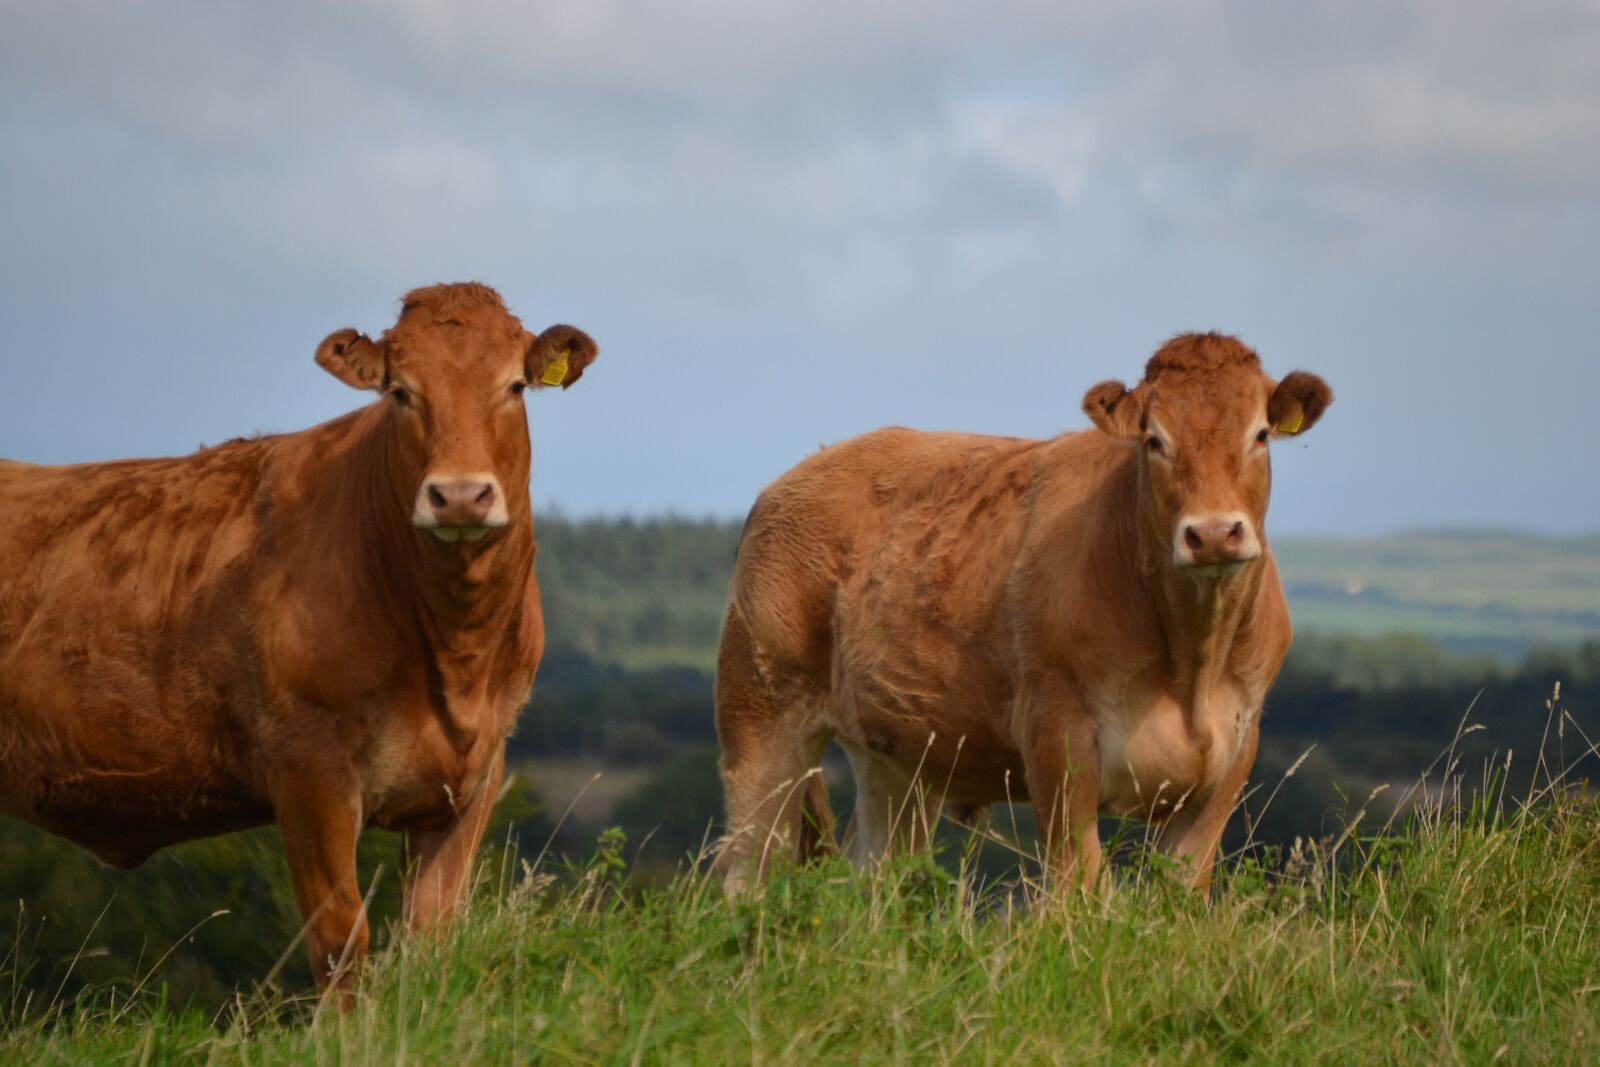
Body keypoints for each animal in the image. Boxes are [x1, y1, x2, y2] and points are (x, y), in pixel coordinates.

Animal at [0, 282, 597, 992]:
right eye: (401, 392)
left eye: (514, 386)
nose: (458, 496)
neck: (455, 659)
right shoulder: (309, 768)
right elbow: (341, 941)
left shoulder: (473, 777)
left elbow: (431, 934)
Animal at [716, 333, 1330, 895]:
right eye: (1155, 440)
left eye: (1260, 434)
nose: (1213, 533)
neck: (1191, 665)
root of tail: (799, 474)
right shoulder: (1055, 736)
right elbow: (1080, 886)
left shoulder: (1233, 754)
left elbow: (1181, 891)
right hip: (760, 718)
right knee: (750, 870)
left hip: (896, 758)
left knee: (873, 876)